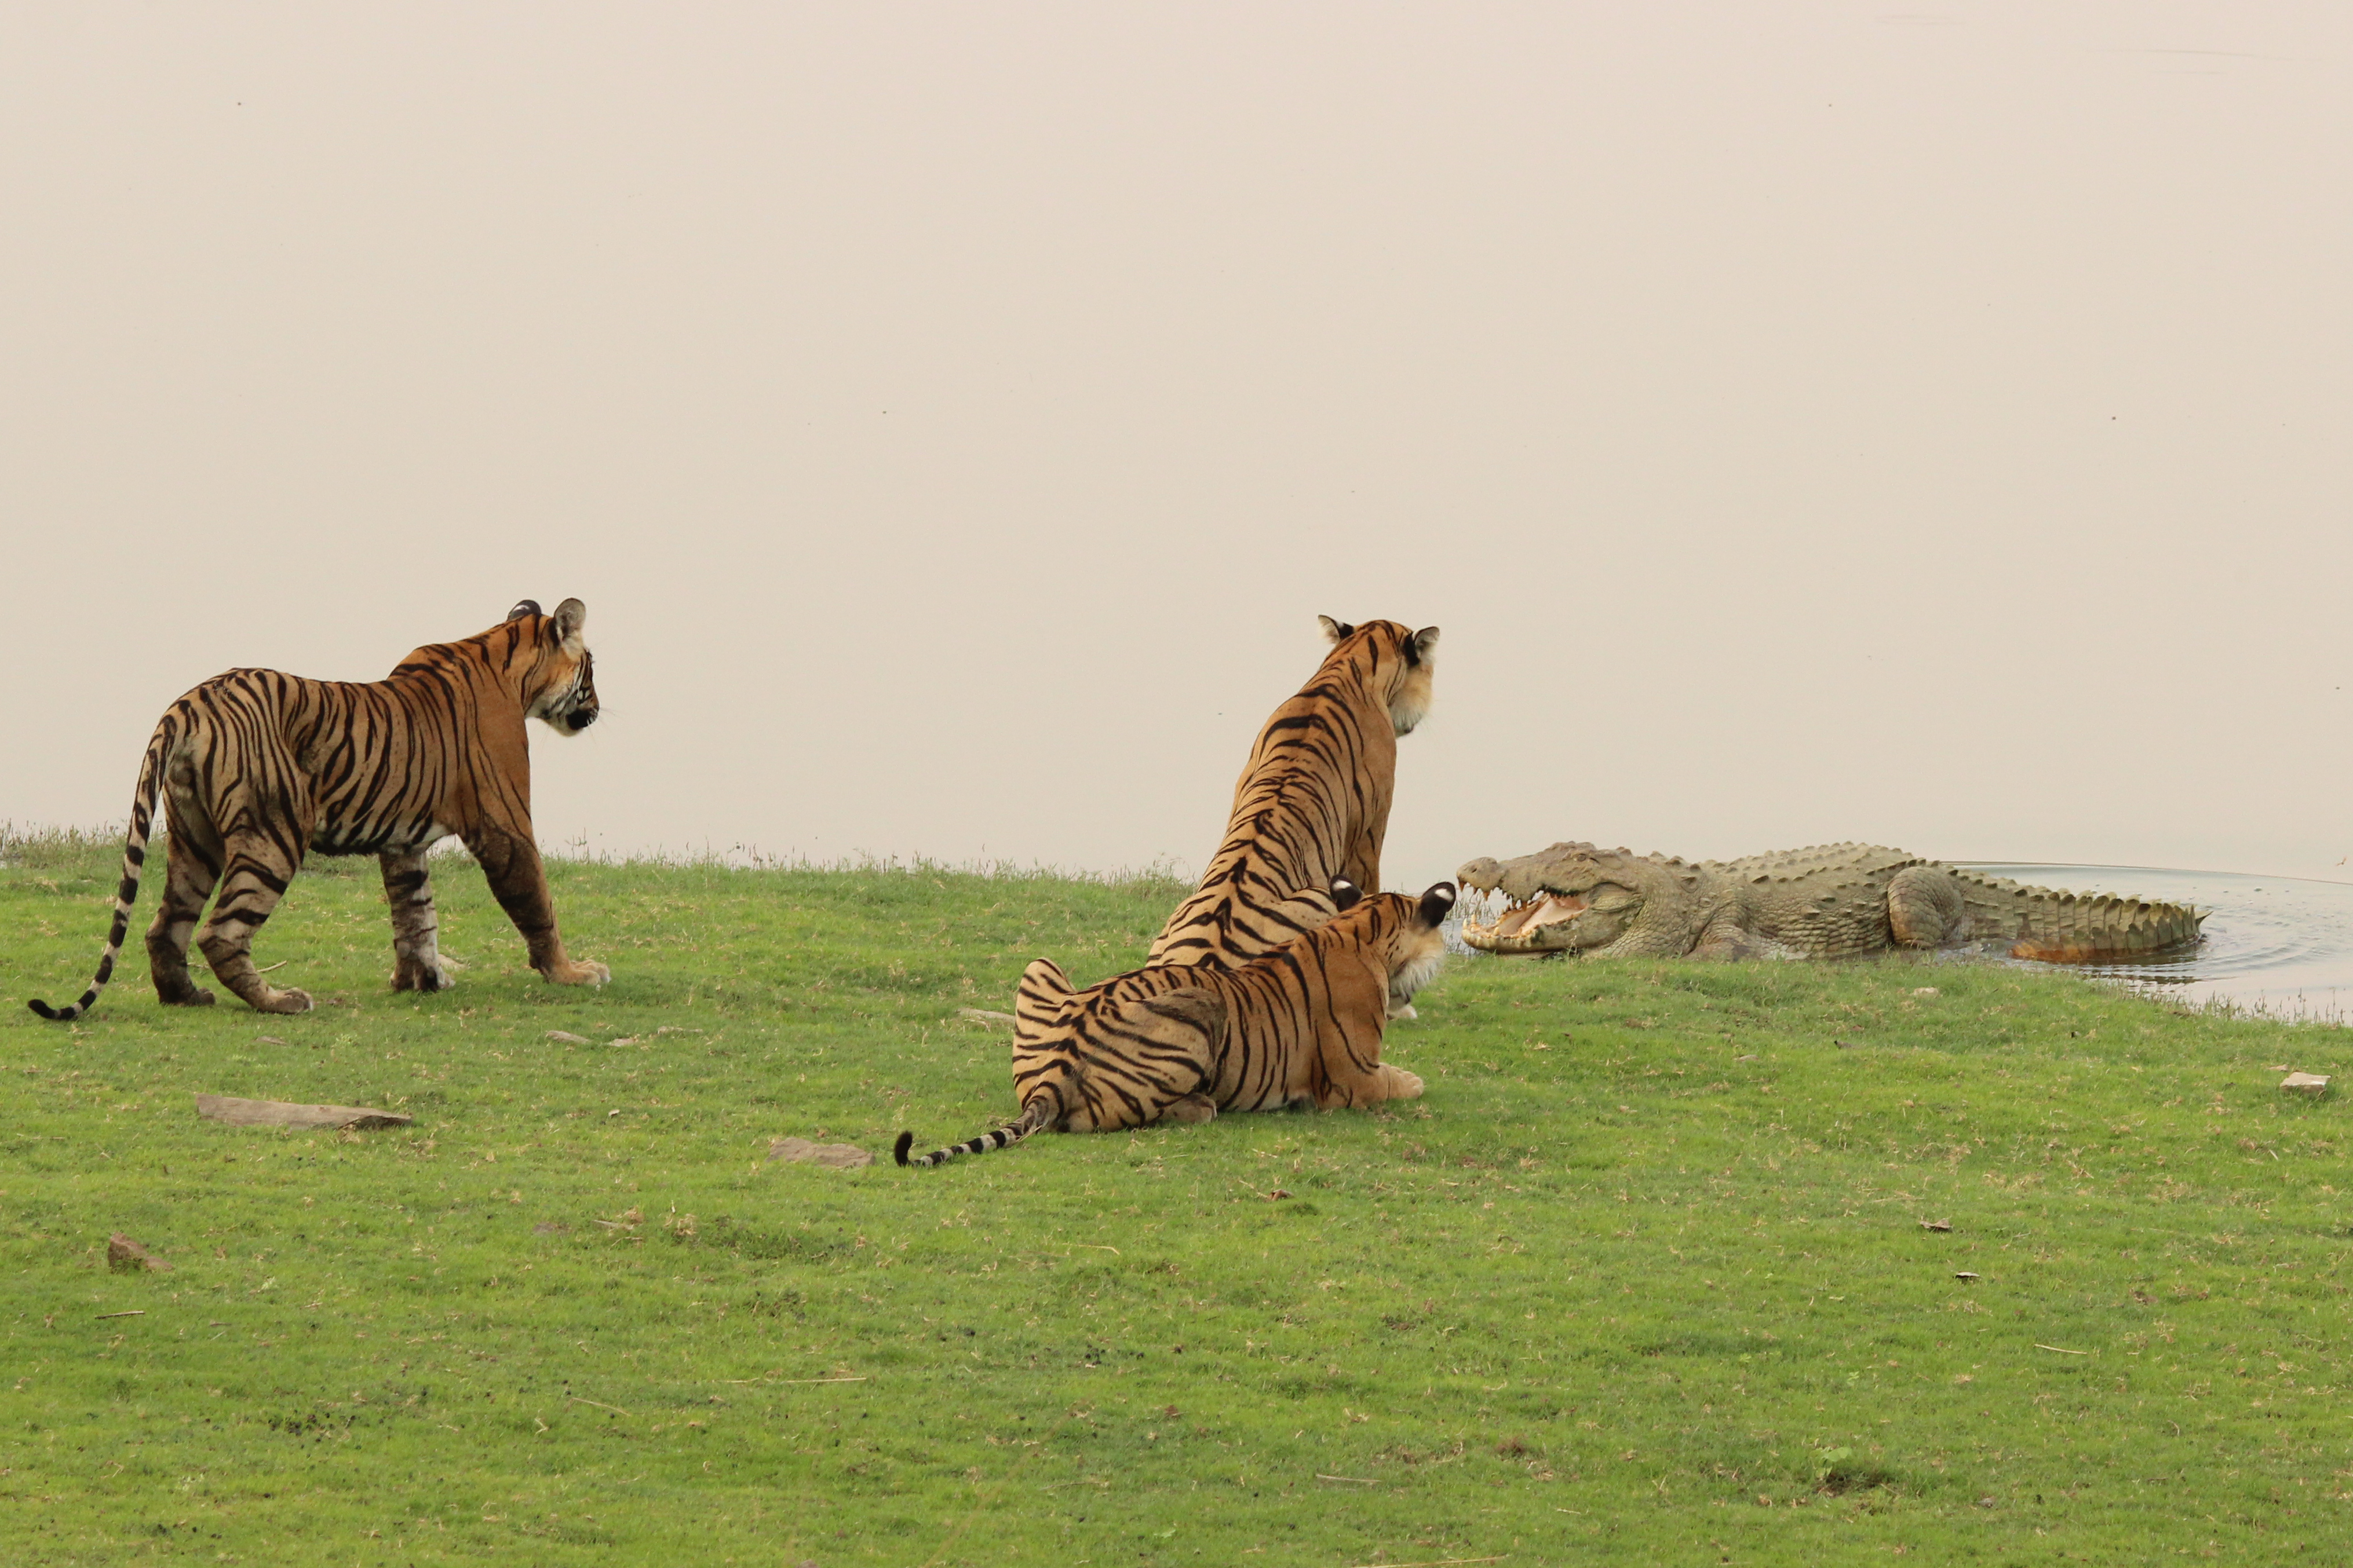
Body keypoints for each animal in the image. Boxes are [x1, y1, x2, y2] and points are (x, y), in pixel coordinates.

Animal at [30, 594, 607, 1025]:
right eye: (591, 669)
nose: (598, 710)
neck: (507, 659)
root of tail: (191, 701)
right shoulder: (504, 823)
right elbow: (536, 901)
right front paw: (572, 972)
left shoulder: (403, 841)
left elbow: (416, 914)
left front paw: (421, 979)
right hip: (276, 833)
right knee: (220, 931)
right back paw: (280, 1001)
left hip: (195, 838)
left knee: (165, 925)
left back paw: (187, 996)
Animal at [894, 883, 1449, 1166]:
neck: (1361, 927)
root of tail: (1051, 1077)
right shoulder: (1354, 1079)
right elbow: (1410, 1083)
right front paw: (1415, 1080)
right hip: (1203, 1007)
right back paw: (1200, 1105)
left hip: (1040, 965)